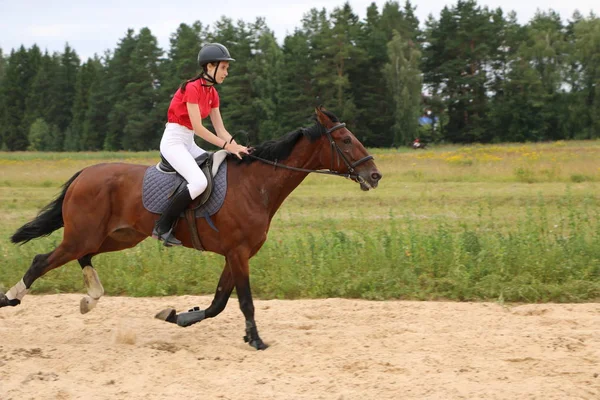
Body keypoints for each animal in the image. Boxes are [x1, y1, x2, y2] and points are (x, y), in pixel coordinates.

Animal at [0, 107, 382, 350]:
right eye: (345, 140)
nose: (374, 175)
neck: (256, 185)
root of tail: (85, 173)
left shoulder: (235, 255)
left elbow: (219, 303)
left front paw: (176, 316)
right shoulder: (238, 253)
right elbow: (244, 302)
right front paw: (257, 341)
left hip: (117, 237)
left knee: (84, 257)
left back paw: (89, 298)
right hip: (83, 235)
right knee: (41, 260)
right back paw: (11, 297)